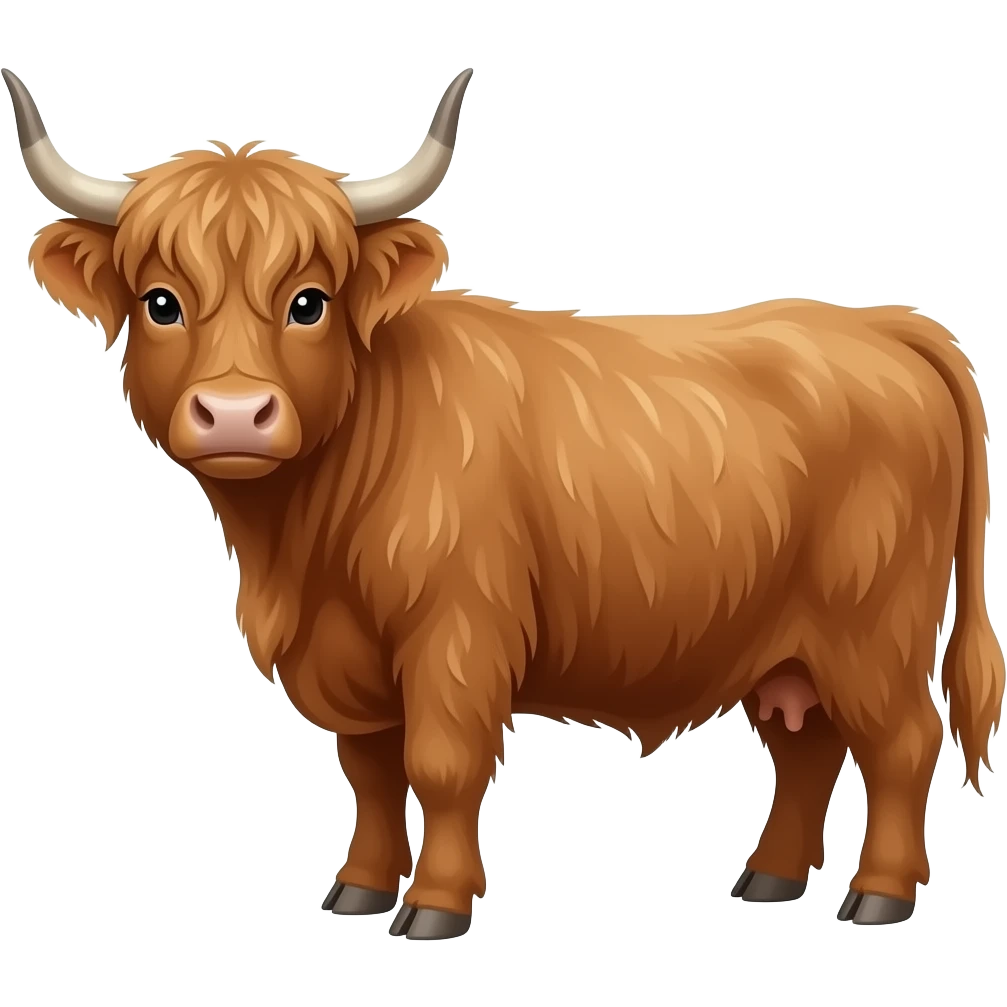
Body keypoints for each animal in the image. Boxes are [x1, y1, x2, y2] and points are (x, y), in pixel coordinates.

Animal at [5, 66, 1003, 939]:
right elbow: (370, 773)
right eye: (161, 303)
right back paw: (767, 879)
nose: (237, 412)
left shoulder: (456, 634)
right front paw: (358, 889)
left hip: (872, 627)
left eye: (310, 302)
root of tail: (876, 321)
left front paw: (434, 906)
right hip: (783, 643)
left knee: (902, 742)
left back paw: (878, 896)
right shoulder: (349, 660)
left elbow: (440, 765)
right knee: (806, 748)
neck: (301, 547)